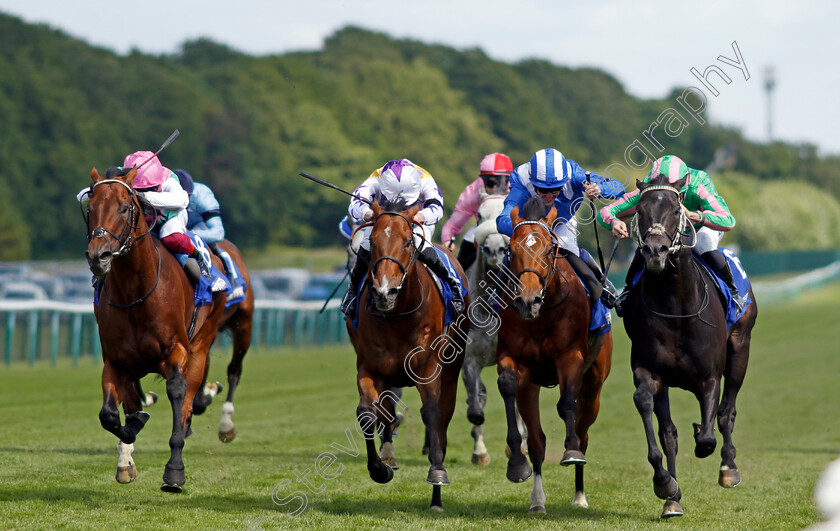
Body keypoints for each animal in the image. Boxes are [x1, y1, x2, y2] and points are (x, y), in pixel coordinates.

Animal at [83, 167, 226, 494]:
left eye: (125, 208)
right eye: (90, 208)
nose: (99, 256)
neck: (136, 293)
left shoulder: (177, 351)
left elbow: (176, 393)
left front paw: (174, 472)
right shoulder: (115, 360)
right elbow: (110, 415)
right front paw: (132, 432)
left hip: (201, 347)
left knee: (186, 405)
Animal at [344, 201, 470, 512]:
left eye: (407, 242)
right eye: (373, 241)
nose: (384, 292)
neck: (398, 315)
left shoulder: (428, 367)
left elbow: (433, 413)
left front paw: (437, 473)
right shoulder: (369, 367)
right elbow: (367, 414)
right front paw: (380, 469)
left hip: (453, 366)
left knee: (444, 417)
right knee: (387, 411)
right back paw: (389, 454)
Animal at [496, 197, 612, 512]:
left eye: (549, 250)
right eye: (511, 251)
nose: (528, 301)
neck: (542, 315)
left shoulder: (570, 357)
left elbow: (566, 404)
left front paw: (570, 451)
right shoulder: (514, 361)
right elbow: (507, 385)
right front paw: (516, 463)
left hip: (594, 386)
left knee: (583, 431)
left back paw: (579, 494)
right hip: (531, 387)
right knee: (537, 440)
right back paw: (537, 501)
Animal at [624, 175, 756, 520]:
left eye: (675, 209)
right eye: (640, 209)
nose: (654, 251)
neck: (675, 305)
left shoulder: (709, 376)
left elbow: (709, 436)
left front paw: (707, 442)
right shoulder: (650, 371)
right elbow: (655, 420)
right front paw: (666, 487)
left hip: (741, 349)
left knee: (727, 412)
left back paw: (729, 467)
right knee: (672, 431)